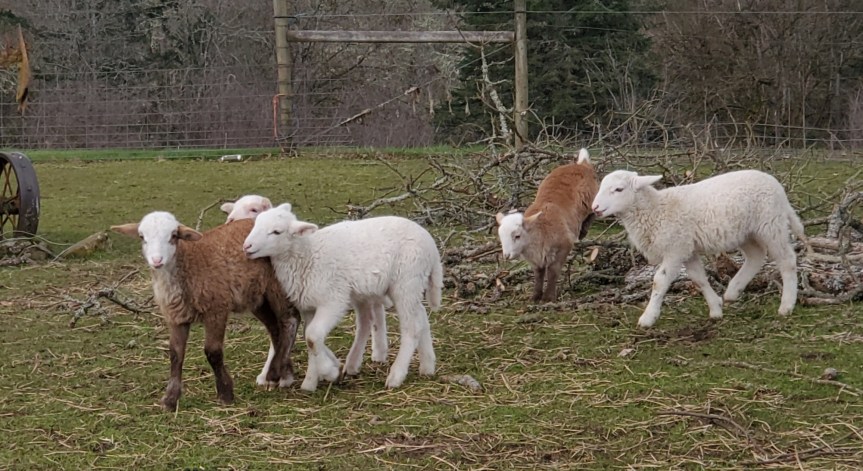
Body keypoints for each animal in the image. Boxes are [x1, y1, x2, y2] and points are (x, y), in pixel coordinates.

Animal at [111, 212, 300, 410]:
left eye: (173, 235)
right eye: (142, 237)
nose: (157, 261)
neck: (187, 263)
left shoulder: (216, 309)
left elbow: (213, 352)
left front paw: (225, 393)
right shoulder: (176, 317)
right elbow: (175, 354)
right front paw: (170, 399)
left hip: (279, 283)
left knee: (290, 321)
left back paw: (279, 374)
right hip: (257, 297)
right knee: (275, 328)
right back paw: (279, 374)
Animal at [220, 194, 391, 385]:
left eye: (254, 209)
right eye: (232, 210)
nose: (230, 221)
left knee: (374, 312)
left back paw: (376, 353)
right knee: (375, 310)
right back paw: (377, 352)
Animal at [243, 204, 443, 392]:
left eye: (276, 231)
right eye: (257, 223)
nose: (247, 246)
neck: (307, 254)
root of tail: (432, 247)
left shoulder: (333, 300)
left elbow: (312, 336)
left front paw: (328, 372)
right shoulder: (309, 305)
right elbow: (310, 340)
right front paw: (310, 382)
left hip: (406, 280)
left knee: (412, 327)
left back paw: (396, 375)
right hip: (410, 285)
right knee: (421, 316)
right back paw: (427, 366)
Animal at [496, 148, 599, 302]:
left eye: (517, 236)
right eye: (501, 237)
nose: (506, 256)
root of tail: (581, 164)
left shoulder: (564, 245)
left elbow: (553, 270)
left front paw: (548, 297)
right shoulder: (535, 259)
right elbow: (538, 273)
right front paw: (535, 296)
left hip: (593, 198)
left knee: (594, 212)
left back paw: (583, 231)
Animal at [591, 169, 806, 328]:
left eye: (618, 189)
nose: (595, 208)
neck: (656, 210)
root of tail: (779, 188)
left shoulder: (675, 249)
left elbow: (659, 282)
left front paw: (648, 317)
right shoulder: (688, 250)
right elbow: (699, 279)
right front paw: (716, 308)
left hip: (770, 225)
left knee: (787, 260)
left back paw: (787, 305)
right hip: (748, 232)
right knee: (756, 256)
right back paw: (733, 291)